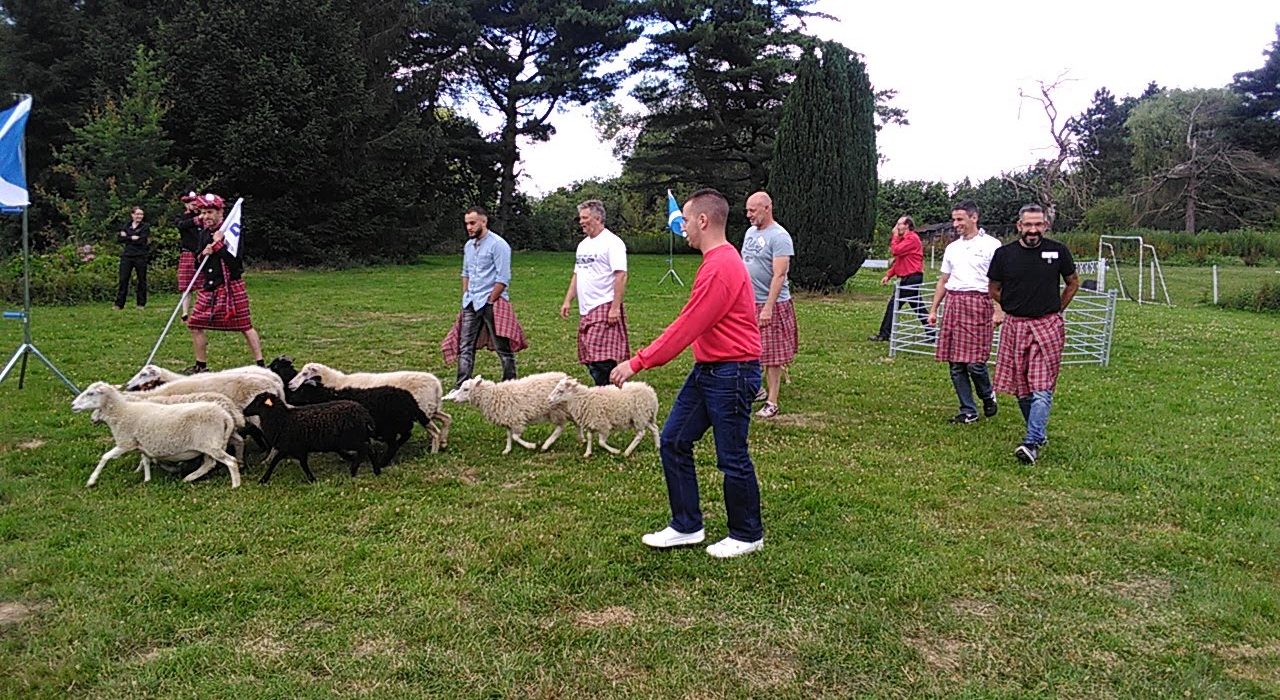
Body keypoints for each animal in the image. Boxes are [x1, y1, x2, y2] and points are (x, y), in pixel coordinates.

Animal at [71, 381, 241, 488]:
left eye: (90, 393)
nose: (72, 405)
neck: (123, 411)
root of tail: (224, 414)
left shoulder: (125, 442)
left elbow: (105, 457)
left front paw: (91, 480)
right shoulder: (141, 443)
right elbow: (146, 459)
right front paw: (146, 479)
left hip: (211, 443)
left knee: (229, 461)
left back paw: (235, 484)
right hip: (211, 444)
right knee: (209, 463)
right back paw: (189, 478)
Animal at [242, 392, 379, 484]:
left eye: (257, 402)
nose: (244, 411)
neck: (282, 419)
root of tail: (364, 413)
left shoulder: (290, 446)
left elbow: (278, 462)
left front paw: (262, 480)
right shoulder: (293, 448)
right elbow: (292, 463)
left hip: (351, 439)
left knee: (366, 449)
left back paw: (354, 469)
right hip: (359, 436)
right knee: (370, 450)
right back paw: (376, 471)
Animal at [287, 362, 451, 452]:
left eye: (305, 373)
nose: (289, 385)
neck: (336, 384)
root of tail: (437, 384)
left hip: (422, 411)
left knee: (436, 429)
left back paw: (434, 451)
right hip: (431, 409)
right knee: (447, 418)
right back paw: (442, 443)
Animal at [289, 380, 431, 467]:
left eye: (302, 390)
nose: (289, 397)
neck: (329, 397)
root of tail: (411, 401)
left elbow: (338, 448)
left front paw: (350, 457)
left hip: (389, 428)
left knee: (393, 445)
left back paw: (382, 462)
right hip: (399, 424)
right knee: (406, 435)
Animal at [447, 372, 576, 454]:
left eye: (466, 389)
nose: (454, 399)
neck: (494, 396)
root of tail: (565, 376)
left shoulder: (516, 419)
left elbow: (515, 436)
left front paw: (531, 446)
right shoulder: (508, 418)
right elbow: (509, 435)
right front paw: (507, 450)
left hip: (557, 410)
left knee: (560, 427)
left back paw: (546, 445)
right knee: (563, 426)